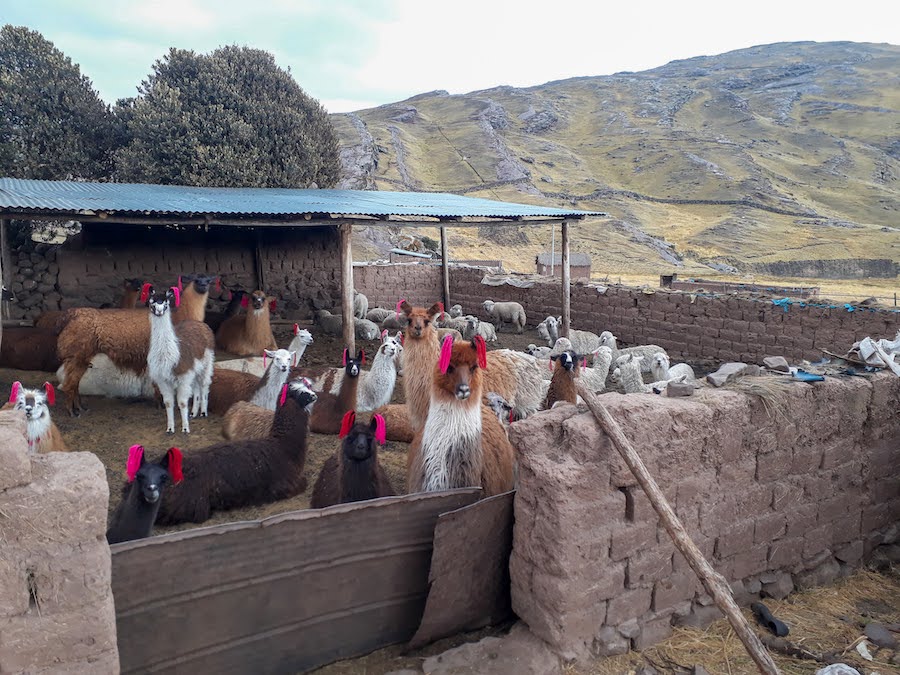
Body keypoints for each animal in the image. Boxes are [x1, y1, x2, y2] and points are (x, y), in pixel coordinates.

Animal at [149, 286, 218, 434]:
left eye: (166, 303)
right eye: (152, 302)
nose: (159, 311)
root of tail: (201, 324)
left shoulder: (184, 376)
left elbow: (182, 402)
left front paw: (185, 429)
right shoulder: (162, 379)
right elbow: (169, 403)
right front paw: (170, 428)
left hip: (207, 361)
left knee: (204, 384)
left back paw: (203, 412)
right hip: (194, 369)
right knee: (196, 386)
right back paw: (193, 413)